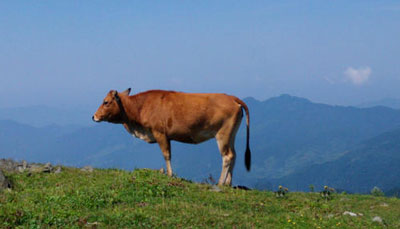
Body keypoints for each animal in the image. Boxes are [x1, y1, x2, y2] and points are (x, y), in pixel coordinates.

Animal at [92, 88, 252, 185]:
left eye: (106, 102)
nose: (94, 116)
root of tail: (232, 98)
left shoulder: (160, 133)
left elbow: (166, 154)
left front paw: (169, 174)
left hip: (223, 134)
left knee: (227, 156)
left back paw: (220, 183)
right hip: (231, 134)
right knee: (234, 154)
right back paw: (228, 183)